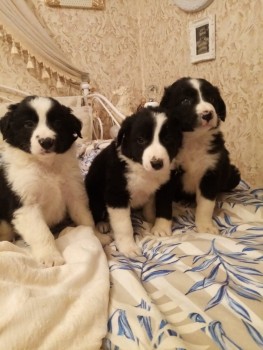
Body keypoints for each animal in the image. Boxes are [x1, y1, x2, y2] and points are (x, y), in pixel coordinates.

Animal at [0, 95, 96, 266]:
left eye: (57, 122)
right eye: (28, 124)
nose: (46, 141)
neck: (47, 165)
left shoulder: (74, 192)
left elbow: (84, 217)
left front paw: (98, 237)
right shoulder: (26, 205)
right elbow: (41, 232)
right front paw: (50, 257)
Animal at [85, 106, 183, 258]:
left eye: (167, 139)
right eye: (141, 140)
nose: (157, 163)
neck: (142, 169)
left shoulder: (164, 185)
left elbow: (159, 206)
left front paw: (156, 224)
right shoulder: (117, 194)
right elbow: (124, 225)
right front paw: (128, 247)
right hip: (94, 193)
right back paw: (102, 224)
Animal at [159, 78, 241, 234]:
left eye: (212, 99)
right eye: (185, 100)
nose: (207, 114)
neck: (194, 140)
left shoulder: (211, 172)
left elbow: (206, 204)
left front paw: (205, 226)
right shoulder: (168, 173)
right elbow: (163, 202)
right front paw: (161, 228)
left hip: (233, 175)